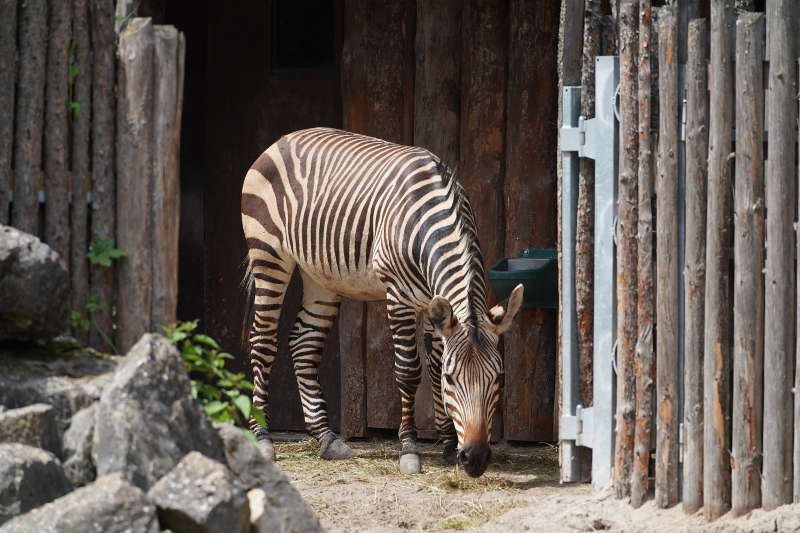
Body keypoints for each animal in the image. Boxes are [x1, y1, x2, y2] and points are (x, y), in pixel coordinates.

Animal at [239, 127, 524, 476]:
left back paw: (326, 438)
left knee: (303, 344)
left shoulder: (433, 305)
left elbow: (432, 364)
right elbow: (409, 371)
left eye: (499, 378)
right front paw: (410, 448)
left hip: (319, 275)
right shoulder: (398, 297)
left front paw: (447, 444)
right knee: (263, 342)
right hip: (268, 254)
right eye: (452, 379)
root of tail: (285, 138)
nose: (476, 458)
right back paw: (262, 438)